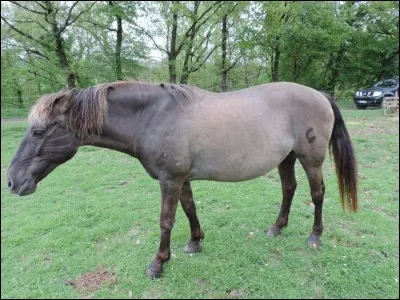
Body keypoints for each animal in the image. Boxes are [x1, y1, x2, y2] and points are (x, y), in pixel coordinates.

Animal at [6, 80, 358, 278]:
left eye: (38, 131)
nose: (11, 181)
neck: (153, 116)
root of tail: (321, 96)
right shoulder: (181, 179)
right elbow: (189, 209)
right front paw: (194, 242)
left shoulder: (170, 179)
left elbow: (166, 221)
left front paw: (158, 264)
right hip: (286, 158)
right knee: (288, 189)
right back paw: (277, 227)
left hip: (310, 159)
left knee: (317, 193)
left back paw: (315, 236)